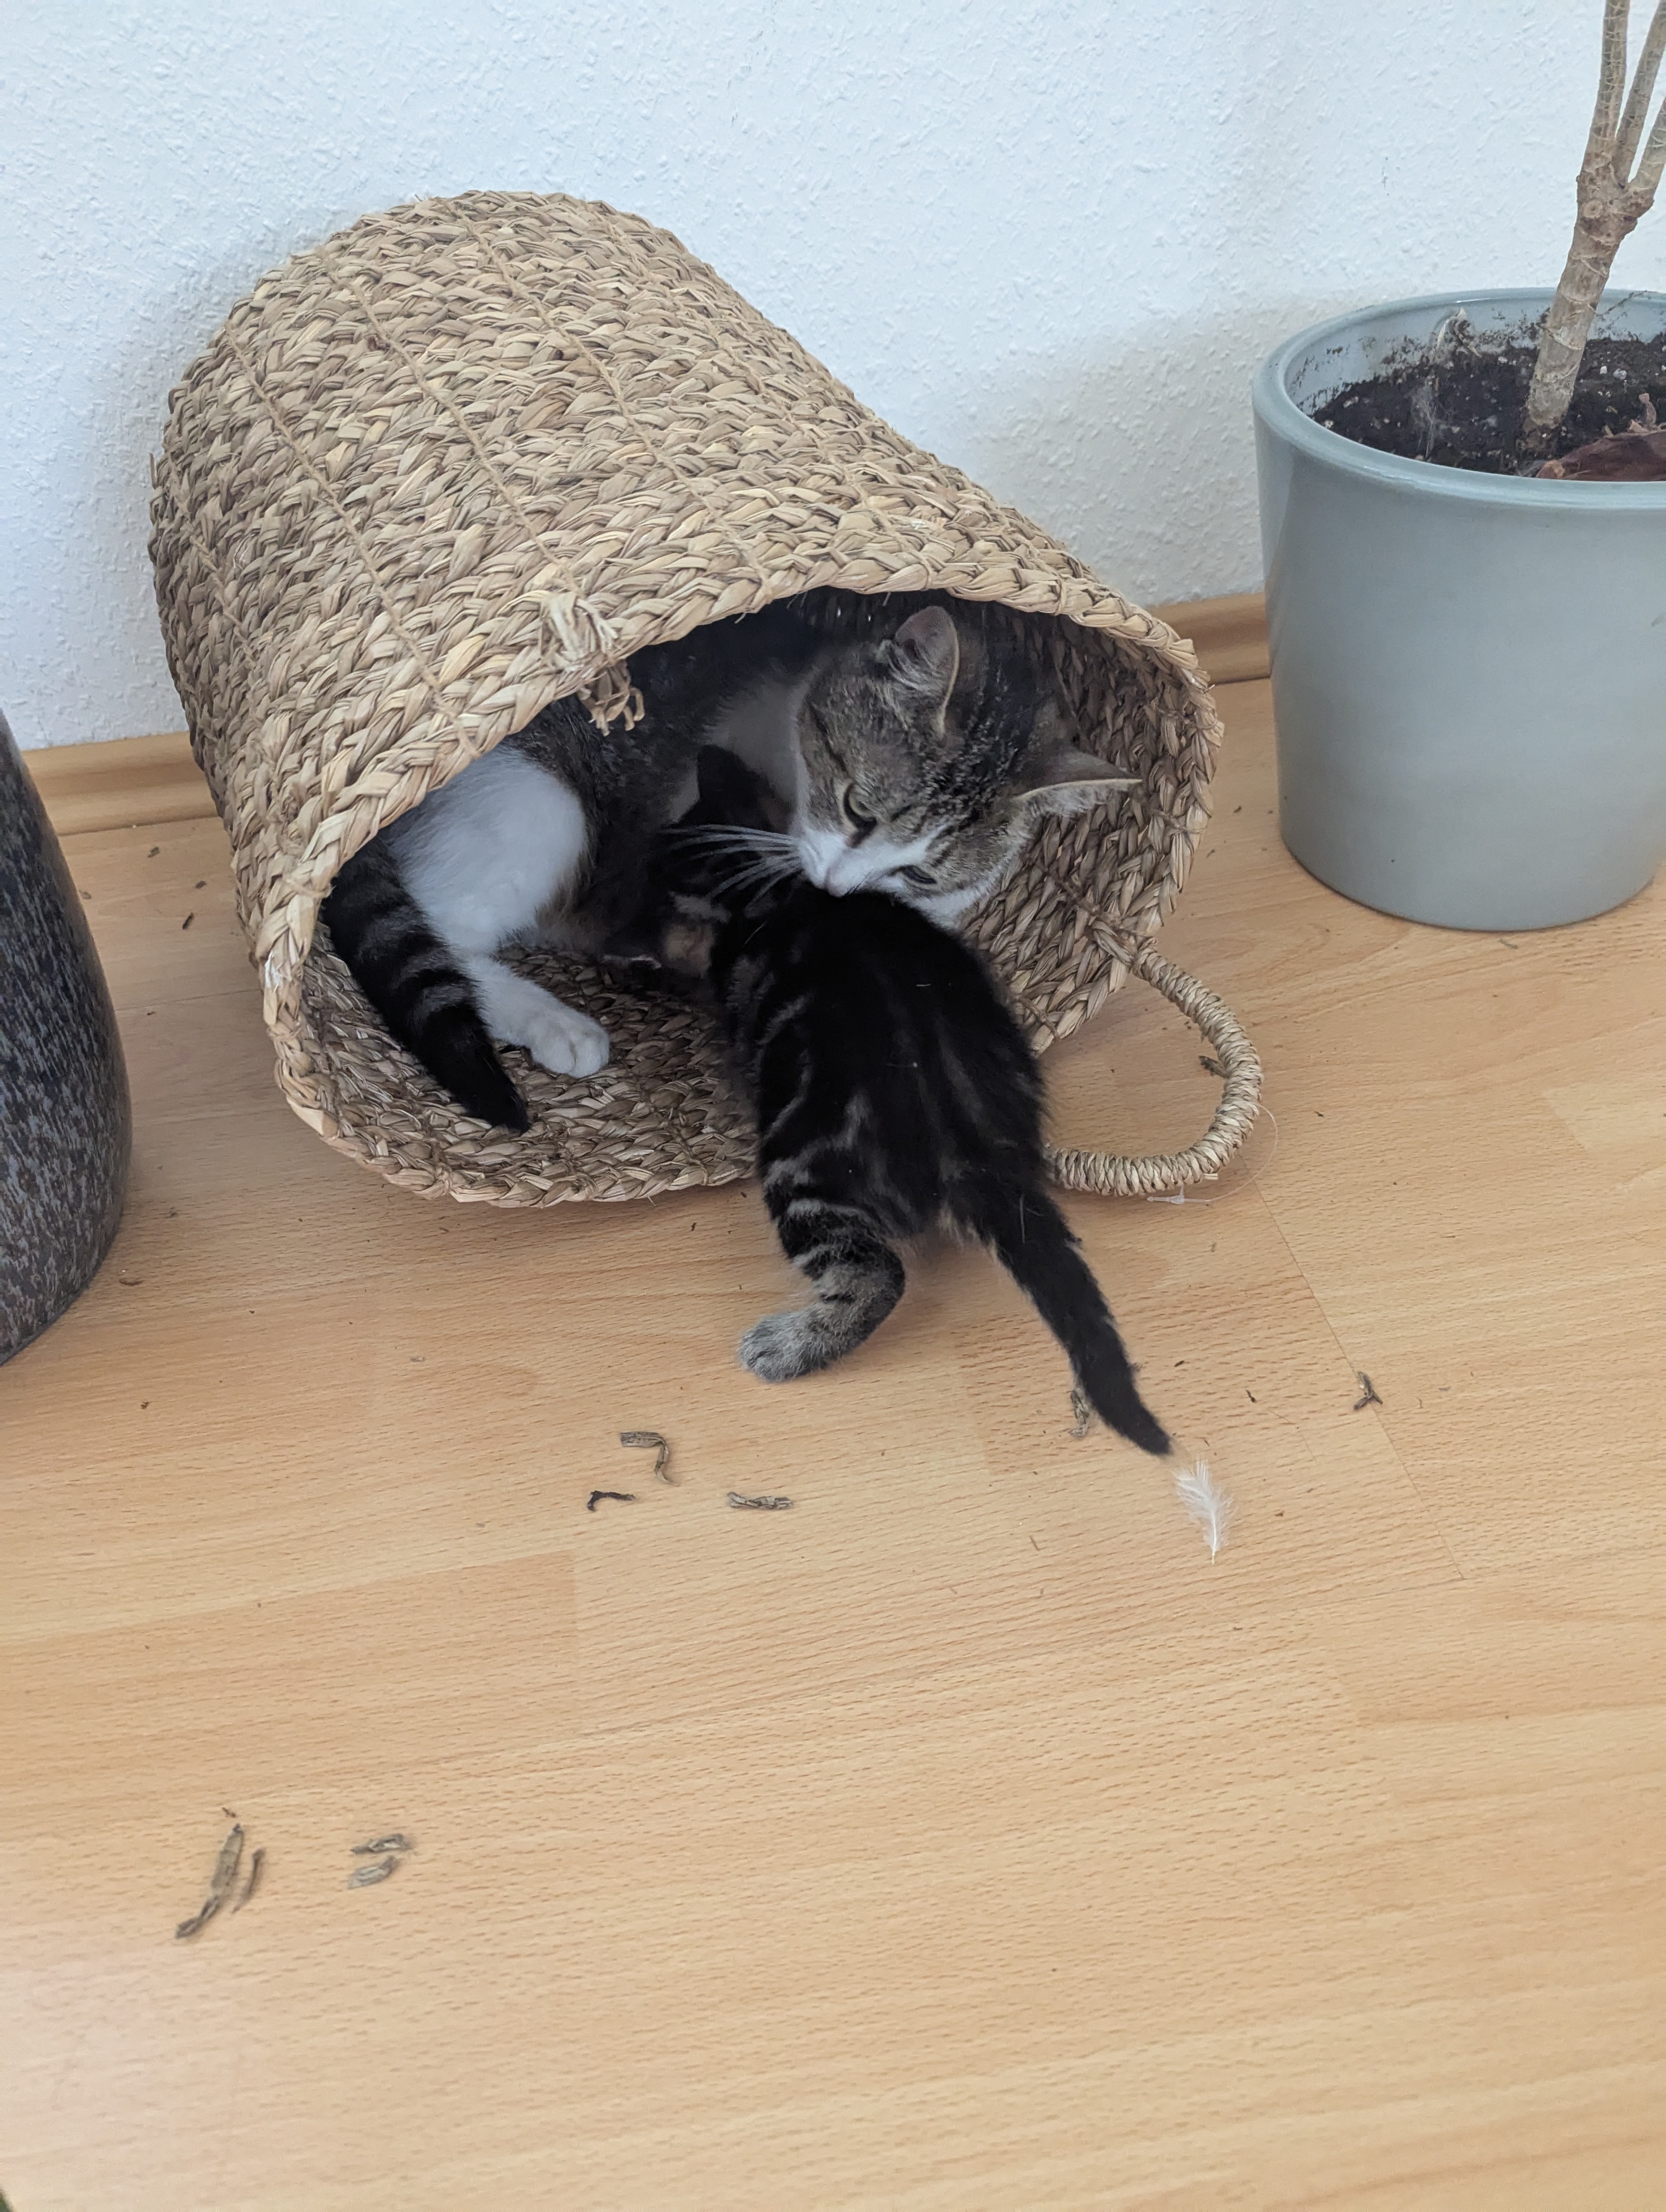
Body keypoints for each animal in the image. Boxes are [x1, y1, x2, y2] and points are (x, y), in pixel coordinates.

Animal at [320, 591, 1136, 1131]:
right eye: (857, 808)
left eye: (921, 873)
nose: (836, 885)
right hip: (541, 806)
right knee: (448, 927)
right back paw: (556, 1019)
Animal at [618, 744, 1171, 1457]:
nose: (619, 920)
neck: (774, 896)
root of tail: (976, 1136)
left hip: (802, 1167)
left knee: (878, 1276)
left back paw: (791, 1347)